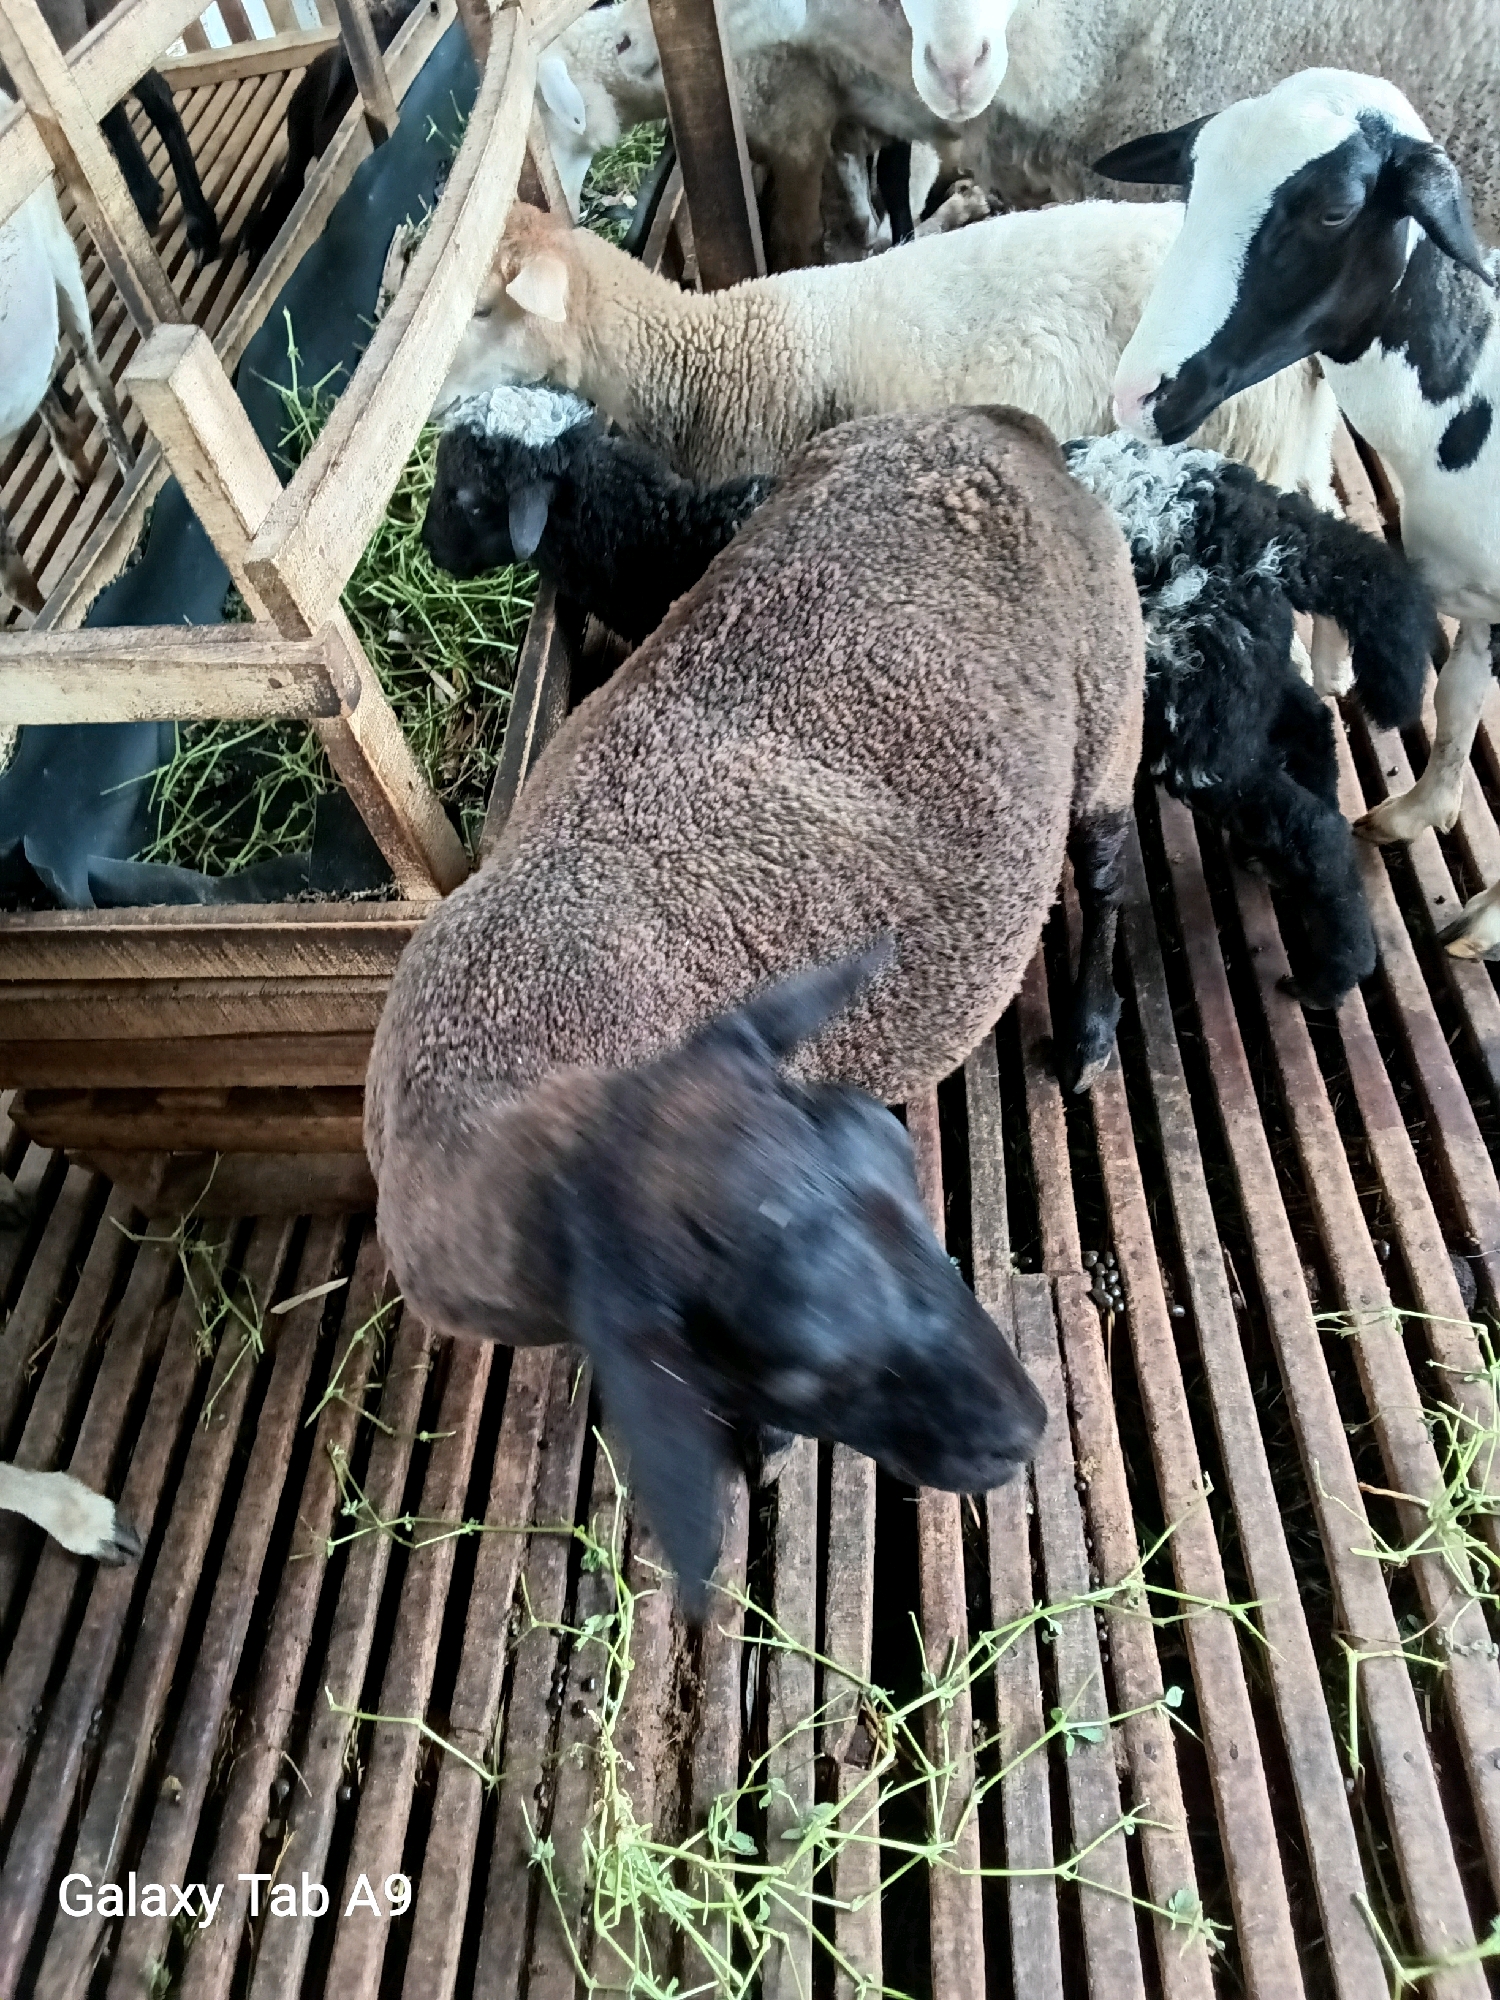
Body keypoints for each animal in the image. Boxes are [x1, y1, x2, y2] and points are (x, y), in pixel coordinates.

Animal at [1101, 68, 1500, 960]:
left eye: (1335, 211)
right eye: (1190, 182)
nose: (1137, 395)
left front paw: (1486, 921)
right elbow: (1458, 701)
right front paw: (1419, 813)